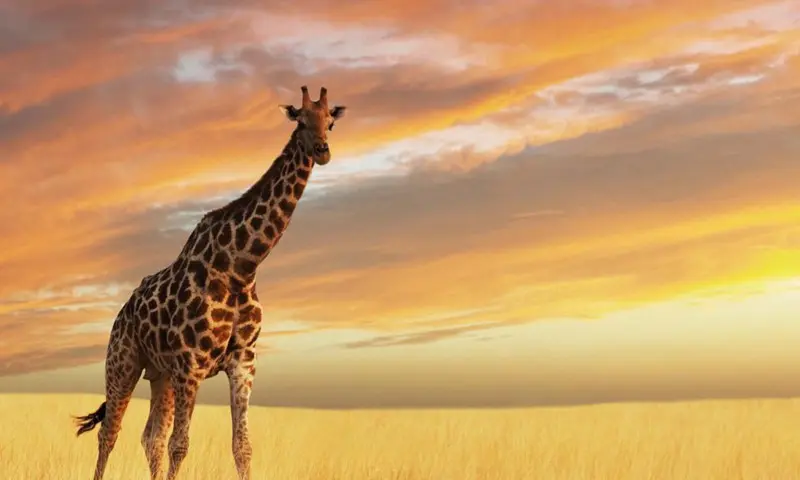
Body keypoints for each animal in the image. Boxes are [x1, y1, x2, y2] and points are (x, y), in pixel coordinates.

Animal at [73, 85, 346, 480]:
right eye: (301, 120)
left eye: (331, 123)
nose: (323, 151)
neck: (241, 267)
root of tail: (121, 313)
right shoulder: (191, 364)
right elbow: (181, 445)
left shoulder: (243, 362)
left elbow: (242, 447)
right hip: (123, 361)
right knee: (110, 432)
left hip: (160, 374)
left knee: (150, 437)